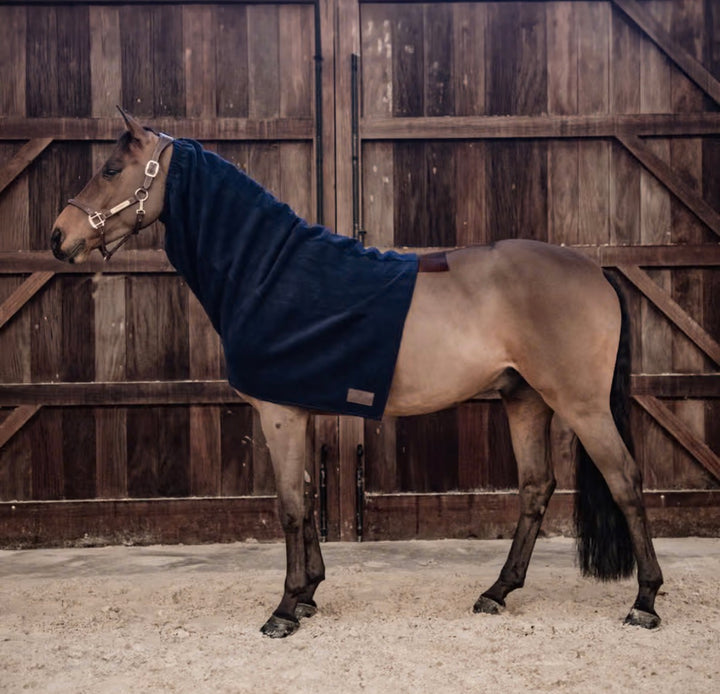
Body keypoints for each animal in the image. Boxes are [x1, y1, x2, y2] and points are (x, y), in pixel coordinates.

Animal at [50, 108, 663, 638]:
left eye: (110, 169)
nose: (58, 236)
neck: (270, 271)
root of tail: (595, 269)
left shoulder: (279, 414)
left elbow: (289, 508)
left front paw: (284, 609)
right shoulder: (297, 411)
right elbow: (305, 500)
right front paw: (309, 594)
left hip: (581, 404)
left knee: (625, 481)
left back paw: (645, 601)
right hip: (526, 399)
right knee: (536, 487)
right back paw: (497, 592)